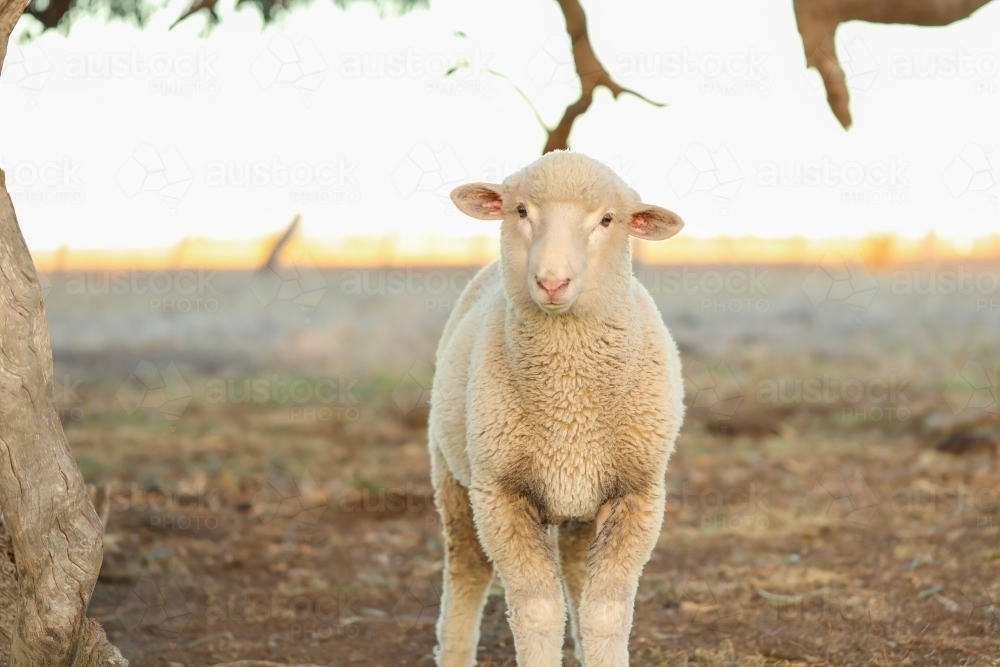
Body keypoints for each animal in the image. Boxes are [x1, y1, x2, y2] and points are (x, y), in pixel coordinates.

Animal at [428, 150, 686, 667]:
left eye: (608, 219)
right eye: (521, 211)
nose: (551, 281)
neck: (569, 407)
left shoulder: (638, 494)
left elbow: (605, 613)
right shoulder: (501, 495)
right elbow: (538, 612)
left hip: (582, 506)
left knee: (577, 579)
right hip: (453, 477)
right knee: (466, 573)